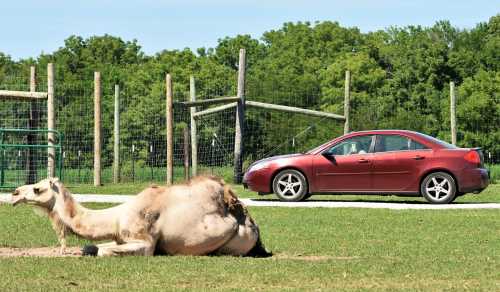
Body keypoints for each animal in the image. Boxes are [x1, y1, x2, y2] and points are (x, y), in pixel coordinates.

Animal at [10, 175, 270, 256]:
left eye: (37, 189)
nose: (14, 193)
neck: (116, 217)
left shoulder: (144, 242)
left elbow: (102, 251)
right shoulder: (120, 237)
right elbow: (93, 247)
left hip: (234, 244)